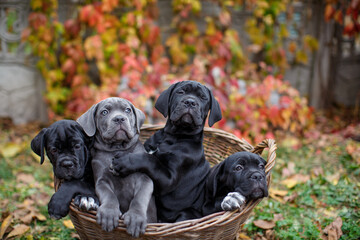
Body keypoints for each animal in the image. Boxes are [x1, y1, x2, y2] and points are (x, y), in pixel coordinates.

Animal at [77, 97, 156, 236]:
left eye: (127, 110)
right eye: (104, 112)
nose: (119, 118)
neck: (117, 148)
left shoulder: (145, 179)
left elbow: (139, 197)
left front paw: (135, 217)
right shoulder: (102, 180)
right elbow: (109, 195)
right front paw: (108, 213)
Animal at [109, 80, 222, 223]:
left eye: (203, 98)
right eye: (181, 92)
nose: (190, 102)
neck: (174, 136)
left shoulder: (169, 179)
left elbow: (150, 160)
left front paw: (123, 161)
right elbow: (148, 156)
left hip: (186, 214)